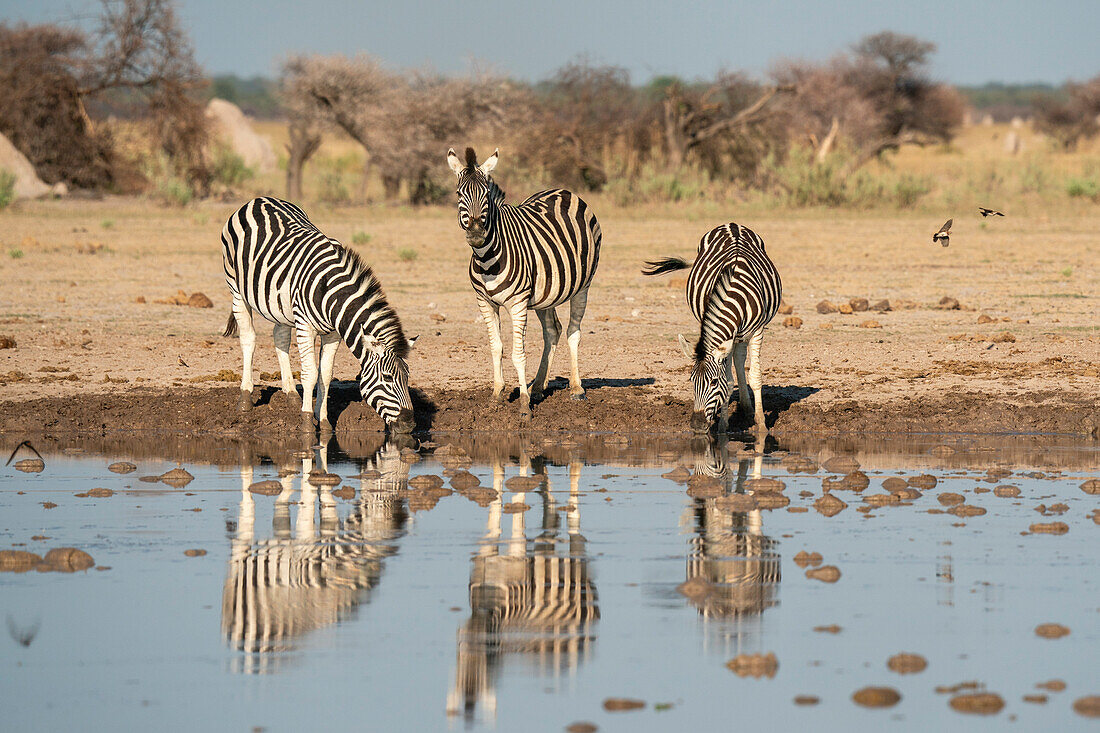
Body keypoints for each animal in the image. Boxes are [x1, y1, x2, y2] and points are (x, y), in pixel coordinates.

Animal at [222, 197, 415, 431]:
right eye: (387, 378)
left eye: (407, 377)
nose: (409, 424)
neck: (331, 294)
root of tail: (259, 199)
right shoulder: (305, 326)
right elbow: (311, 373)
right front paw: (307, 423)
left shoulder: (333, 333)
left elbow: (326, 374)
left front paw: (323, 422)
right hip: (236, 289)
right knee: (248, 339)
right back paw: (245, 398)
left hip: (281, 305)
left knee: (280, 337)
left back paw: (291, 394)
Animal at [444, 145, 602, 413]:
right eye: (458, 194)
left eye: (485, 195)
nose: (476, 235)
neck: (487, 258)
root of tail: (564, 191)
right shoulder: (484, 302)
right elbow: (496, 348)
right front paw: (497, 394)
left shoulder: (518, 304)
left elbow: (518, 354)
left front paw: (524, 404)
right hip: (545, 294)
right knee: (553, 330)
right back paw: (538, 386)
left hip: (584, 285)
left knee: (573, 332)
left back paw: (576, 388)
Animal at [642, 220, 787, 431]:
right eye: (691, 380)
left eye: (713, 382)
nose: (696, 424)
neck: (735, 294)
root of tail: (731, 224)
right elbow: (729, 381)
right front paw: (723, 427)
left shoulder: (758, 330)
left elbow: (754, 377)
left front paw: (761, 424)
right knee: (736, 358)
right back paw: (745, 406)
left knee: (740, 358)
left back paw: (748, 408)